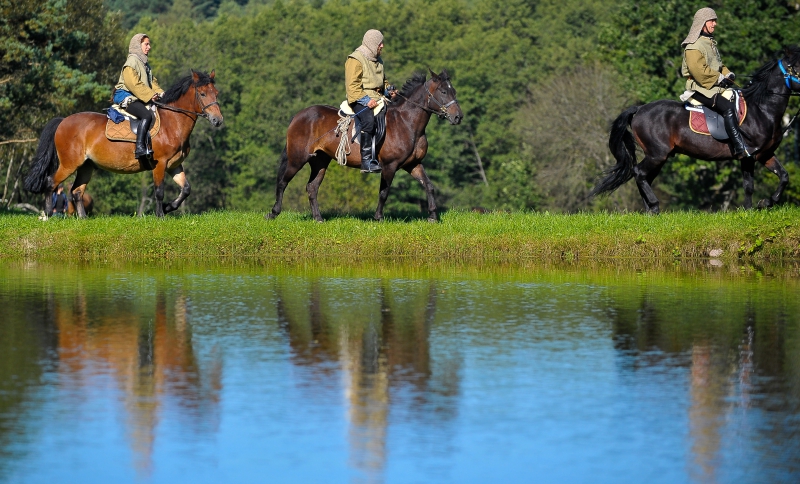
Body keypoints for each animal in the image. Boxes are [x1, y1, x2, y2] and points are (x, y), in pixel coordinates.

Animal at [24, 70, 222, 217]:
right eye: (203, 93)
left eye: (216, 93)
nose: (218, 120)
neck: (172, 122)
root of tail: (63, 121)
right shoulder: (160, 164)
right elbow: (159, 191)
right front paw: (160, 215)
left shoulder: (174, 165)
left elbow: (186, 189)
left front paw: (168, 207)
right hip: (69, 164)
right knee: (51, 182)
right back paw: (48, 214)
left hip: (86, 166)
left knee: (77, 191)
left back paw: (83, 219)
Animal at [268, 68, 462, 223]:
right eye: (443, 91)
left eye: (453, 91)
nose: (458, 117)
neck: (406, 122)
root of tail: (298, 116)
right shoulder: (389, 166)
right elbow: (384, 192)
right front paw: (378, 218)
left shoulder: (413, 164)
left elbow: (429, 185)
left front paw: (433, 217)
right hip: (297, 158)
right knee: (283, 181)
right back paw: (273, 213)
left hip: (320, 160)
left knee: (312, 187)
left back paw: (318, 218)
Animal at [588, 46, 800, 212]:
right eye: (797, 67)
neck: (761, 109)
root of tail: (639, 109)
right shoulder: (749, 155)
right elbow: (749, 186)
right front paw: (752, 209)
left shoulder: (765, 154)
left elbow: (783, 176)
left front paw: (765, 203)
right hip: (657, 154)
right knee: (639, 173)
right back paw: (654, 206)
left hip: (658, 157)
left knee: (643, 175)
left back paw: (649, 209)